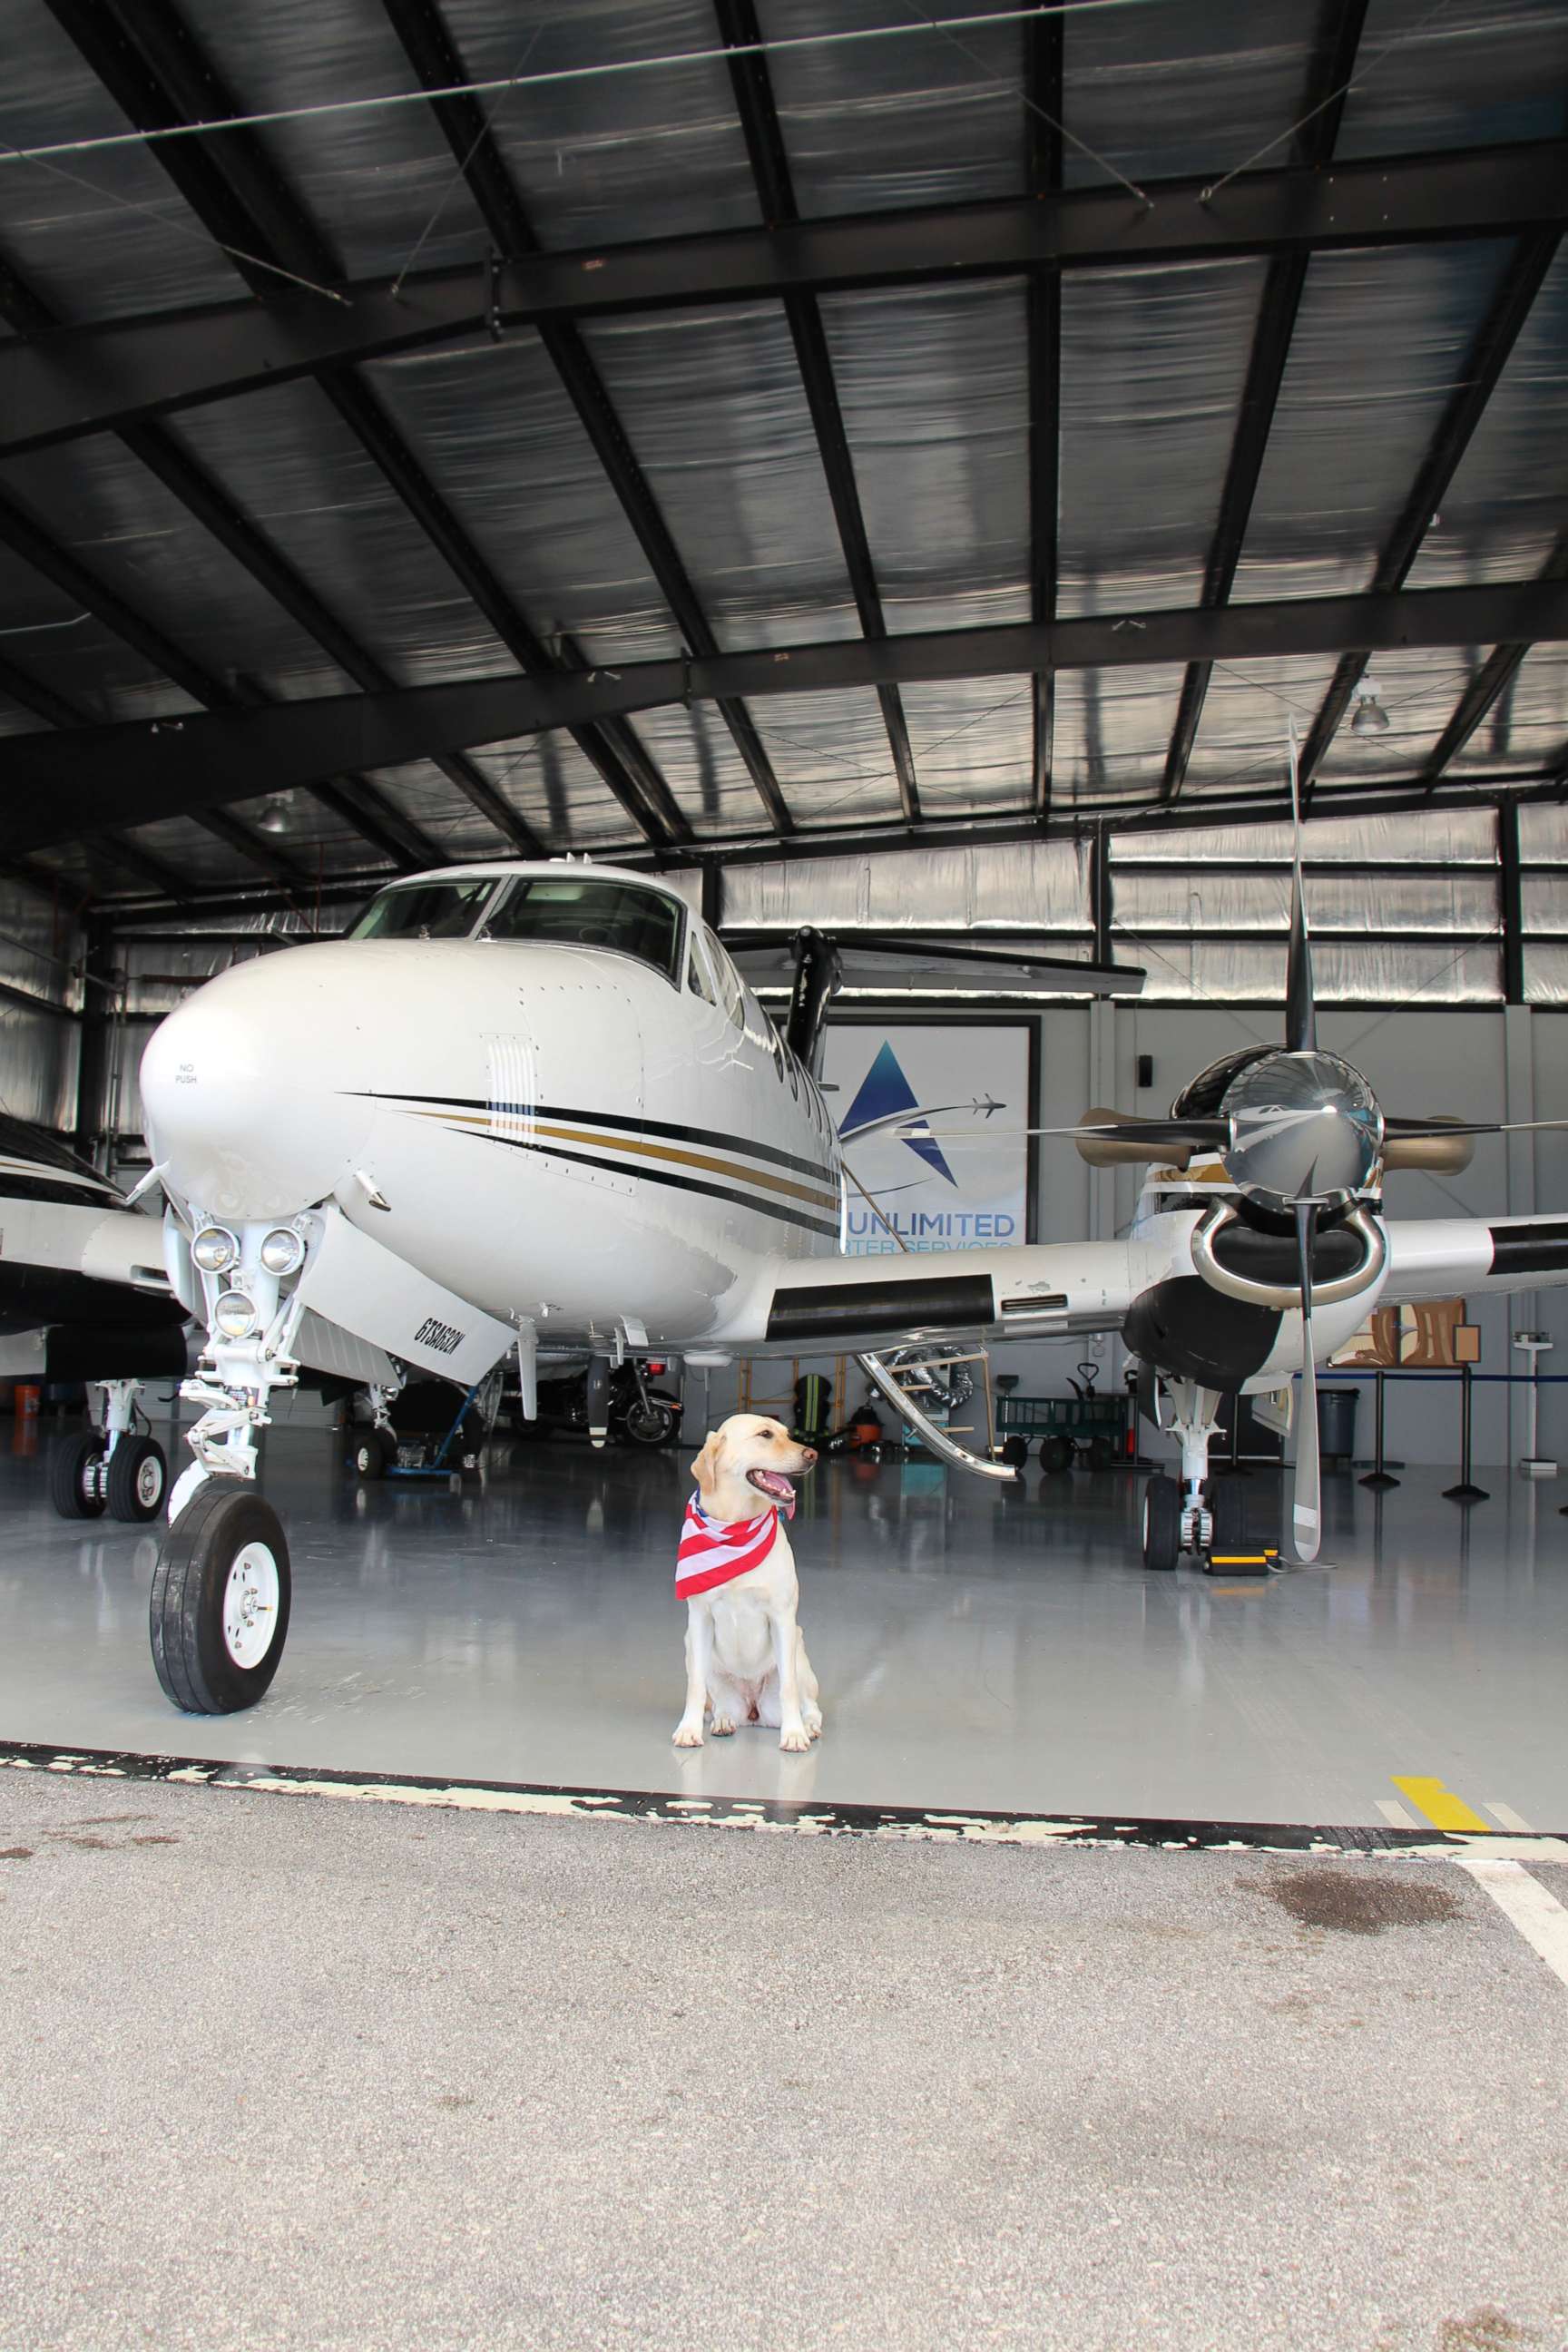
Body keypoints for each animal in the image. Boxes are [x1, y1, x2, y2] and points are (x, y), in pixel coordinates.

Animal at [671, 1411, 822, 1749]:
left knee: (810, 1704)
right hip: (692, 1648)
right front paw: (688, 1729)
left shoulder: (782, 1617)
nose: (813, 1454)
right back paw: (723, 1721)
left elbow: (789, 1688)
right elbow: (695, 1686)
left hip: (799, 1648)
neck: (736, 1526)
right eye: (765, 1435)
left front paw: (794, 1734)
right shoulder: (699, 1619)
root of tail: (754, 1711)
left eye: (787, 1434)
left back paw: (807, 1726)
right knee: (719, 1707)